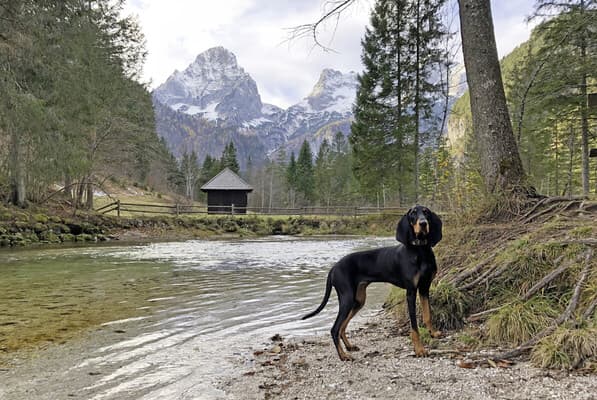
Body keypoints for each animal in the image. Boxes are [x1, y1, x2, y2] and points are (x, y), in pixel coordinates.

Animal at [300, 206, 440, 360]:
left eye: (426, 212)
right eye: (413, 213)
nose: (423, 223)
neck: (420, 251)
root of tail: (333, 268)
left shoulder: (424, 288)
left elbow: (428, 315)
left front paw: (433, 333)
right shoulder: (411, 292)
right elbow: (414, 326)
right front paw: (419, 350)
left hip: (358, 300)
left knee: (342, 326)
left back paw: (349, 346)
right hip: (347, 298)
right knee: (334, 329)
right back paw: (343, 355)